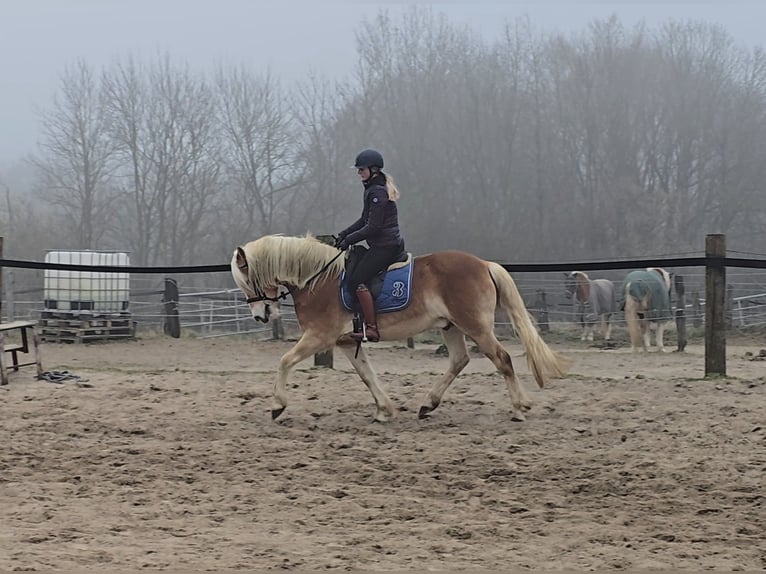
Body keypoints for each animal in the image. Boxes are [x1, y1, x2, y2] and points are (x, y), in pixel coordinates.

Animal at [231, 234, 572, 424]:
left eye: (246, 279)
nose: (261, 316)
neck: (319, 279)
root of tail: (484, 264)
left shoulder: (319, 337)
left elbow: (284, 361)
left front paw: (277, 406)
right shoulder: (345, 341)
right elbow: (367, 375)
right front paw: (384, 410)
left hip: (476, 327)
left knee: (502, 359)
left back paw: (518, 408)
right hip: (451, 326)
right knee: (459, 360)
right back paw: (427, 404)